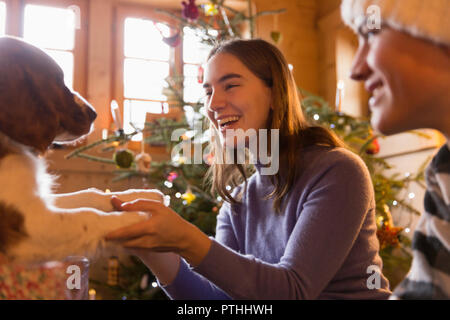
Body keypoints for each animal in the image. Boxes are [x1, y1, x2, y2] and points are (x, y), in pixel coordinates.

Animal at [0, 35, 162, 264]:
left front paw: (141, 196)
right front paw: (135, 216)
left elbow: (90, 195)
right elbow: (88, 215)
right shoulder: (29, 226)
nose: (94, 113)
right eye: (58, 79)